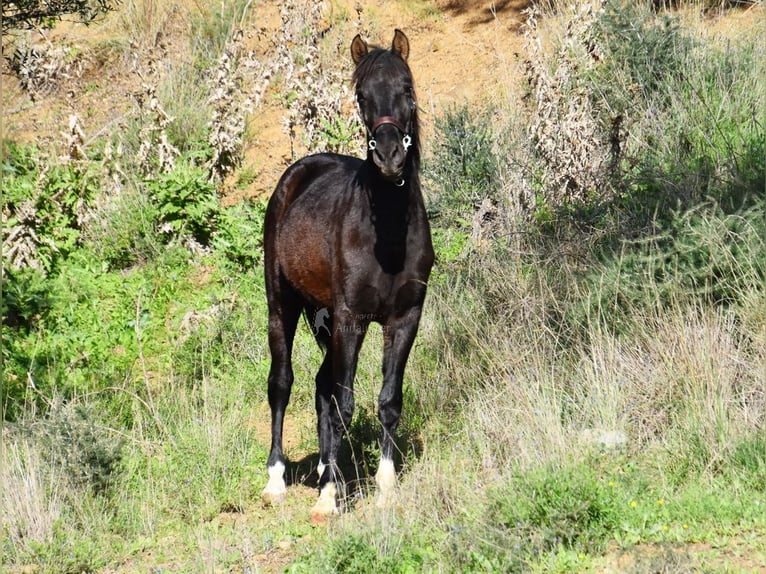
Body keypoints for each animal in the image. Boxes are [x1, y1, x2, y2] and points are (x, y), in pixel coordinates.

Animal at [260, 28, 436, 520]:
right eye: (361, 96)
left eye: (408, 89)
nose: (391, 157)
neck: (388, 238)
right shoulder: (351, 319)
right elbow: (345, 402)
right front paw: (328, 497)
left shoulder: (404, 319)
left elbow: (387, 401)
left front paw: (384, 485)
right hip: (284, 307)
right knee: (282, 384)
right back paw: (278, 479)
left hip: (324, 320)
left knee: (321, 386)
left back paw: (325, 467)